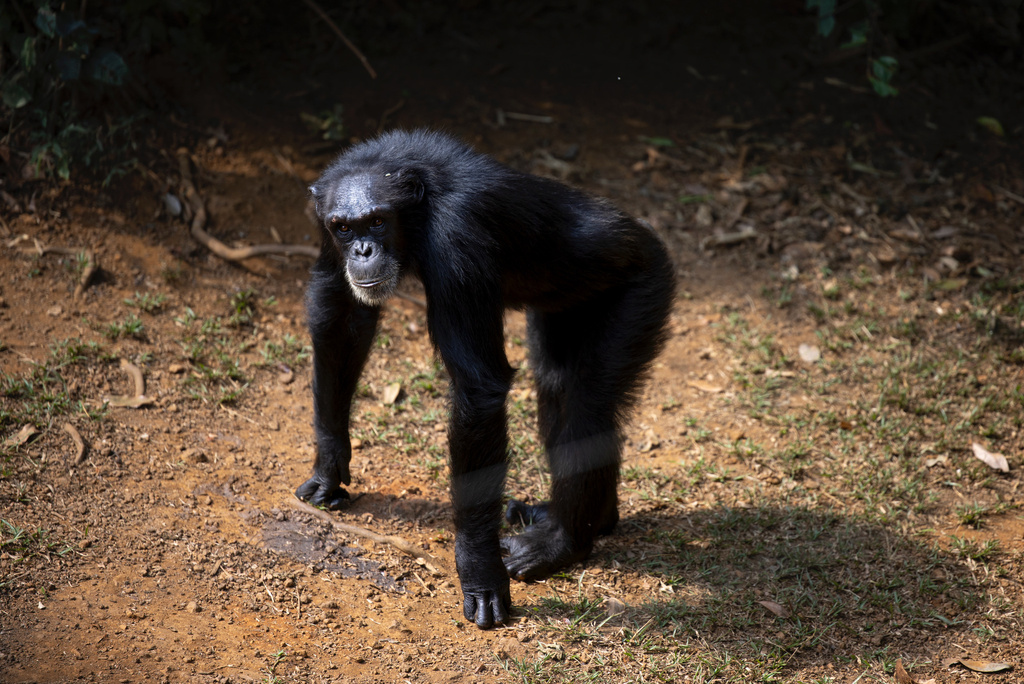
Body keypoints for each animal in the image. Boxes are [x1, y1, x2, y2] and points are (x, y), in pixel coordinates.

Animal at [296, 129, 675, 630]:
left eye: (376, 222)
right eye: (343, 228)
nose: (362, 250)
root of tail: (645, 235)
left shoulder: (458, 238)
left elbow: (478, 389)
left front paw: (479, 572)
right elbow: (342, 315)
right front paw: (329, 465)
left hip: (644, 288)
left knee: (586, 405)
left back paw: (561, 542)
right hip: (564, 310)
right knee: (554, 387)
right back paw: (587, 517)